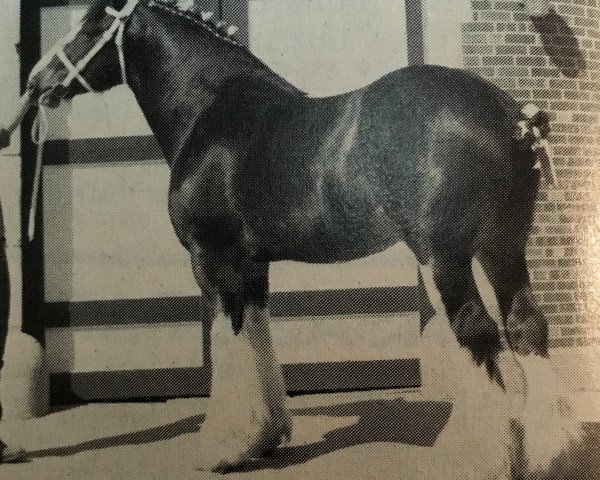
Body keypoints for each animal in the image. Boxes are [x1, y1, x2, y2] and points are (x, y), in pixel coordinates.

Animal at [0, 0, 580, 474]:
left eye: (91, 22)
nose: (36, 81)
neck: (211, 110)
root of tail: (511, 115)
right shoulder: (251, 264)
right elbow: (257, 337)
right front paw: (263, 436)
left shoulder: (213, 259)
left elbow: (227, 340)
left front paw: (223, 446)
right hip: (502, 246)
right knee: (527, 327)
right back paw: (549, 453)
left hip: (445, 256)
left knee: (478, 333)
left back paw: (470, 457)